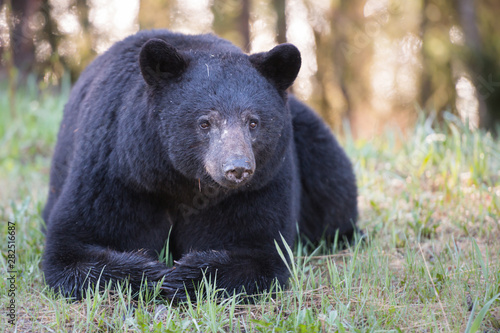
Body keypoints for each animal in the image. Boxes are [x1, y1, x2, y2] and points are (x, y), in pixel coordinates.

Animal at [42, 29, 356, 300]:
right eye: (205, 122)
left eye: (253, 122)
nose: (237, 169)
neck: (179, 180)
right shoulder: (116, 171)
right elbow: (73, 245)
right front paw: (151, 275)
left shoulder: (261, 182)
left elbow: (260, 250)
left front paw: (185, 276)